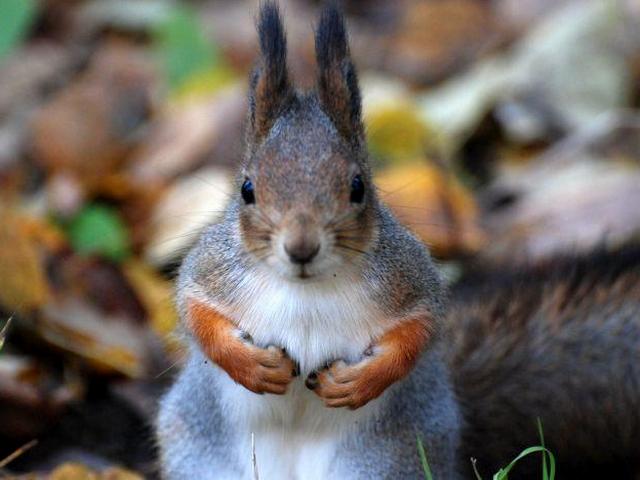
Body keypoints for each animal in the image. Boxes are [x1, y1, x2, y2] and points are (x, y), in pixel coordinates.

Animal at [156, 3, 640, 480]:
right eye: (247, 189)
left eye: (358, 187)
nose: (301, 248)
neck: (307, 288)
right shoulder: (215, 268)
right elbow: (193, 309)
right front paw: (252, 366)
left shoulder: (407, 277)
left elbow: (420, 329)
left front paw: (360, 382)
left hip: (382, 464)